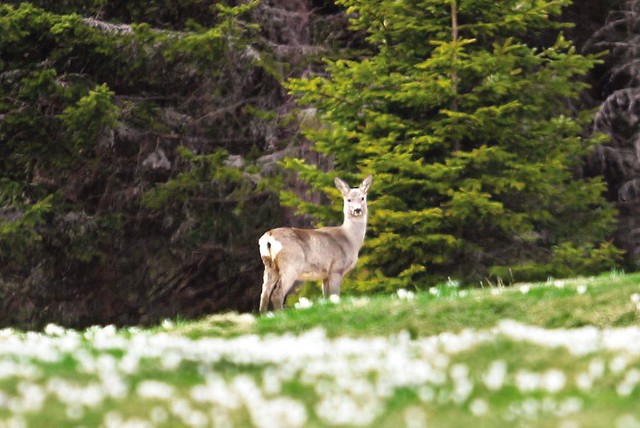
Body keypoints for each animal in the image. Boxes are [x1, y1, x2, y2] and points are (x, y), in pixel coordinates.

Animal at [258, 176, 372, 312]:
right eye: (348, 199)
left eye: (362, 198)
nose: (357, 210)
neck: (349, 239)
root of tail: (268, 236)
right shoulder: (336, 268)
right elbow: (335, 296)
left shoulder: (325, 275)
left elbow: (327, 297)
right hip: (291, 263)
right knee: (277, 294)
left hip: (270, 266)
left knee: (264, 294)